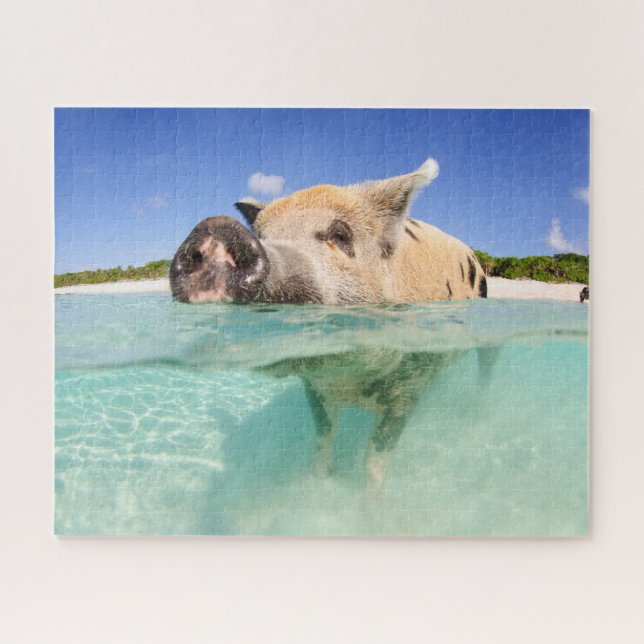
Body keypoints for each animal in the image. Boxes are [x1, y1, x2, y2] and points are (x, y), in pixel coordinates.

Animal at [169, 159, 492, 490]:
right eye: (262, 234)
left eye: (340, 235)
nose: (218, 227)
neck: (348, 382)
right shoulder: (315, 387)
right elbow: (324, 436)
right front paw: (319, 481)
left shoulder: (408, 387)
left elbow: (375, 460)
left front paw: (372, 501)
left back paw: (477, 411)